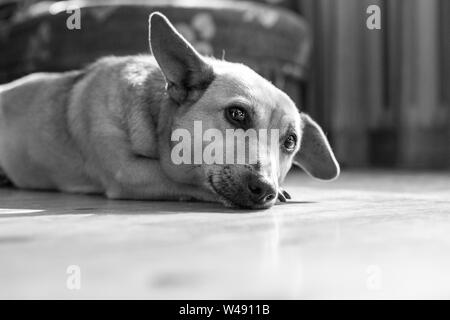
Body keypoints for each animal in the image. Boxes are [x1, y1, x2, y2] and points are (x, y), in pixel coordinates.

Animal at [0, 12, 338, 209]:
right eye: (237, 114)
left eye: (290, 142)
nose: (266, 189)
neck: (156, 117)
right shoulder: (129, 172)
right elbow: (184, 179)